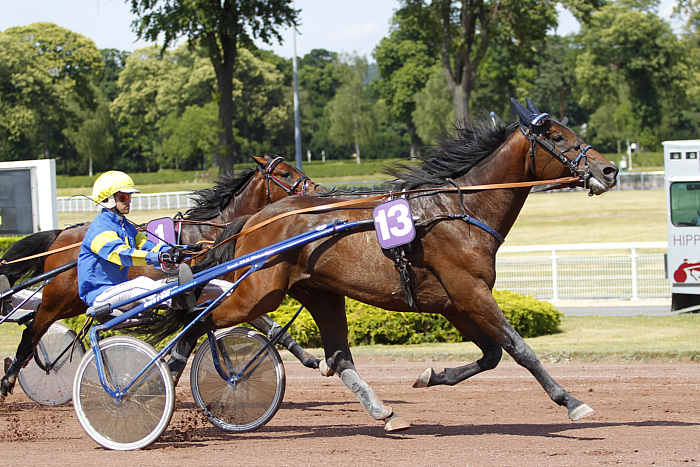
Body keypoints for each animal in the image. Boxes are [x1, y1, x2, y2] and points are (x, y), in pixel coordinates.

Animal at [0, 155, 322, 404]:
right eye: (284, 173)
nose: (317, 190)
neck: (212, 235)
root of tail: (61, 234)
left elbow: (268, 327)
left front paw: (311, 359)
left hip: (74, 303)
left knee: (36, 328)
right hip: (56, 300)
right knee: (31, 333)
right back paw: (9, 380)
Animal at [159, 98, 616, 432]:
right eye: (556, 136)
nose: (609, 169)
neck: (459, 211)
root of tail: (252, 220)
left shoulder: (456, 301)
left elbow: (490, 356)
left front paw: (430, 375)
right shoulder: (471, 291)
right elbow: (519, 349)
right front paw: (572, 402)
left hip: (318, 293)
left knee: (338, 357)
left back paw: (386, 413)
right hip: (256, 294)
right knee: (196, 321)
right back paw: (158, 381)